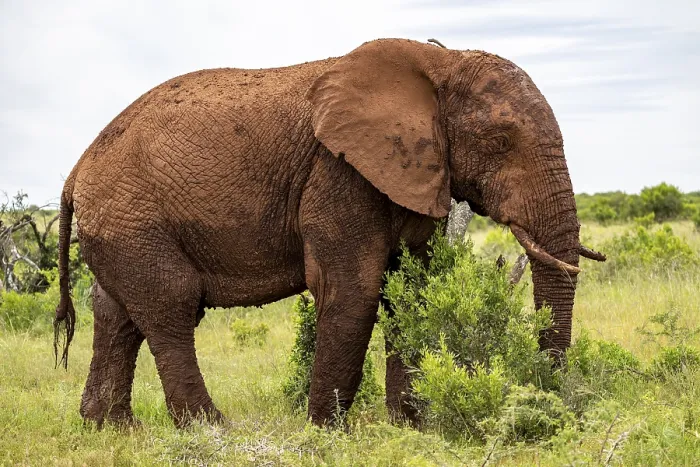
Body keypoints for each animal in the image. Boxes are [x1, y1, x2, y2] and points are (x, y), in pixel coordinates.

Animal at [53, 38, 605, 428]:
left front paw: (410, 426)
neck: (437, 63)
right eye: (500, 141)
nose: (544, 401)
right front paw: (326, 431)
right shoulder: (338, 172)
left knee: (117, 311)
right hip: (132, 216)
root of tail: (75, 171)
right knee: (171, 306)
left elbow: (408, 289)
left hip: (121, 223)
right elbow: (352, 290)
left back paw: (110, 428)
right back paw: (212, 429)